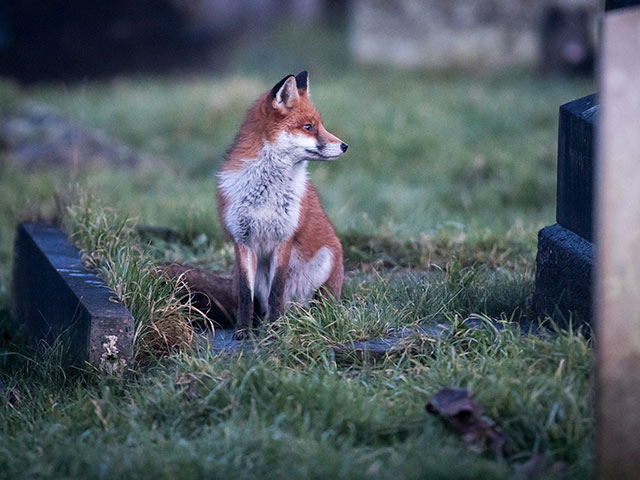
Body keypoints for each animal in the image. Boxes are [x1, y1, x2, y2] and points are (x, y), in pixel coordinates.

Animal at [219, 71, 350, 340]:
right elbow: (246, 296)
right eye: (308, 127)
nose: (345, 146)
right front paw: (243, 331)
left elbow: (276, 291)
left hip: (325, 262)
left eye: (320, 125)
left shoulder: (284, 238)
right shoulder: (242, 241)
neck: (265, 193)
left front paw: (277, 330)